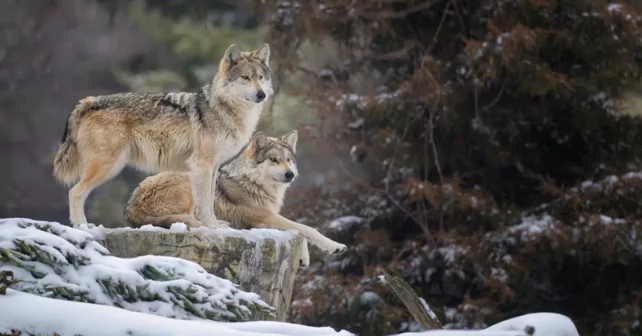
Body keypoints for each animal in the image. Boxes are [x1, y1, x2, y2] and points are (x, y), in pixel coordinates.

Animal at [50, 43, 270, 228]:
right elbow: (205, 203)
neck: (224, 110)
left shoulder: (213, 166)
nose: (262, 95)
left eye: (260, 77)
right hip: (108, 166)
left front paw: (216, 225)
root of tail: (89, 101)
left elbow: (209, 200)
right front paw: (211, 227)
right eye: (245, 78)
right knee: (74, 192)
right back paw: (82, 226)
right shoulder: (201, 165)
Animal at [123, 131, 348, 262]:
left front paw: (304, 257)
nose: (290, 174)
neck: (255, 183)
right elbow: (306, 229)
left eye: (288, 160)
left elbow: (299, 230)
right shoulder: (265, 218)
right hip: (190, 181)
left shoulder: (267, 219)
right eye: (273, 160)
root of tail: (131, 209)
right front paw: (335, 246)